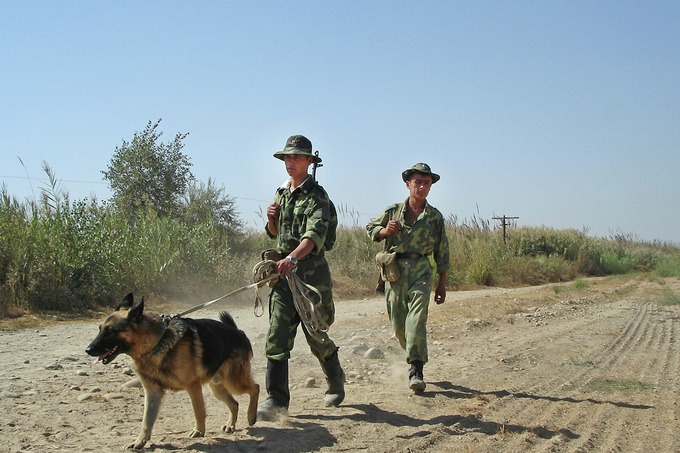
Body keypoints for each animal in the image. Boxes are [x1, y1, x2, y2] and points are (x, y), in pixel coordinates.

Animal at [83, 294, 258, 448]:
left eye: (111, 330)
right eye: (100, 329)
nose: (88, 350)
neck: (155, 342)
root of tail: (238, 332)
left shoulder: (193, 387)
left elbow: (198, 411)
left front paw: (198, 431)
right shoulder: (152, 392)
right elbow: (146, 421)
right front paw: (140, 442)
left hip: (234, 382)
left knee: (255, 388)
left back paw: (251, 415)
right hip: (217, 388)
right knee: (234, 403)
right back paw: (231, 425)